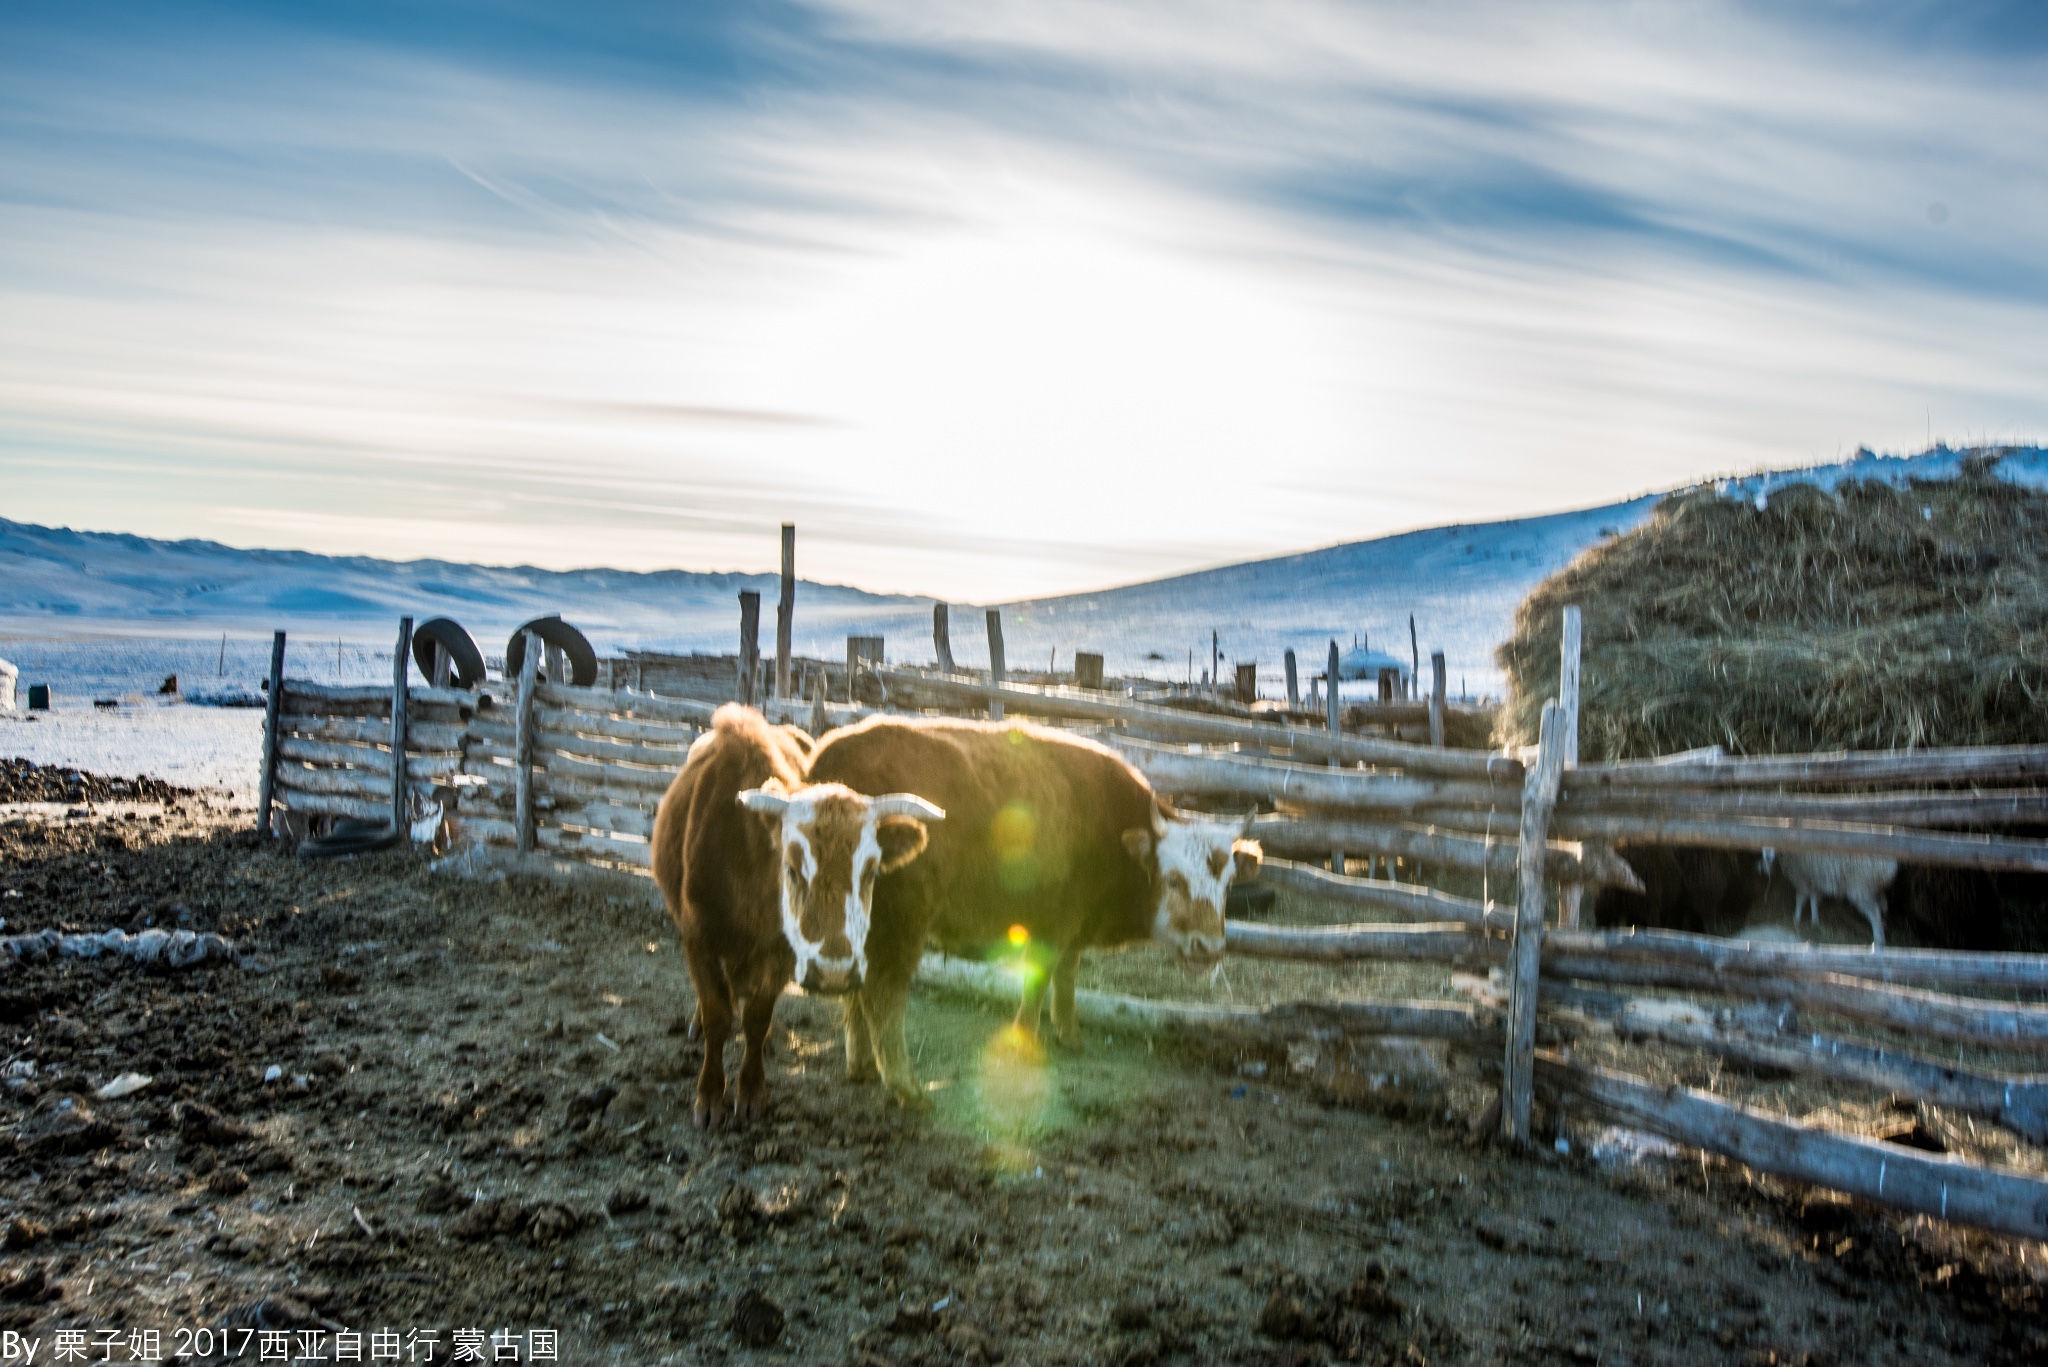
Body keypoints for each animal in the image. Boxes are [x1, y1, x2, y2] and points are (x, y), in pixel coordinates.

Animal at [651, 713, 946, 1131]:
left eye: (871, 872)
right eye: (790, 868)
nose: (835, 974)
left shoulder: (780, 951)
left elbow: (757, 1017)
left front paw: (750, 1092)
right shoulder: (699, 939)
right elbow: (716, 1015)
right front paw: (708, 1096)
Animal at [802, 717, 1261, 1114]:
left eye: (1228, 884)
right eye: (1174, 880)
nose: (1209, 948)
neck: (1109, 825)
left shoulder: (1073, 927)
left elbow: (1067, 977)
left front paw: (1070, 1034)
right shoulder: (1050, 927)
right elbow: (1039, 983)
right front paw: (1026, 1041)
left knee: (857, 991)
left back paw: (861, 1066)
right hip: (900, 926)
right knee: (883, 994)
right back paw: (907, 1088)